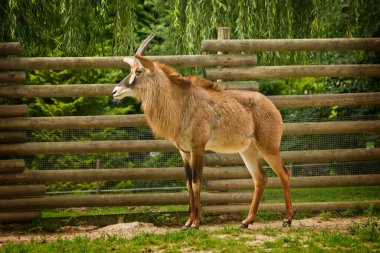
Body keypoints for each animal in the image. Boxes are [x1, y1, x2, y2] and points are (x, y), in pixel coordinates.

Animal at [113, 34, 294, 230]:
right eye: (131, 69)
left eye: (138, 71)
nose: (115, 91)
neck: (182, 104)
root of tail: (273, 107)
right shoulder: (184, 151)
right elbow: (188, 184)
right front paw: (187, 222)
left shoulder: (198, 148)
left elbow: (196, 183)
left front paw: (196, 223)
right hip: (248, 151)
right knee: (260, 179)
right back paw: (247, 221)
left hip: (268, 146)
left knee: (284, 173)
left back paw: (287, 219)